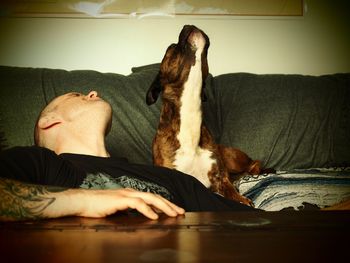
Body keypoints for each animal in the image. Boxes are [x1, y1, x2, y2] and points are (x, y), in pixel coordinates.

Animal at [146, 25, 266, 206]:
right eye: (171, 47)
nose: (188, 25)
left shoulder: (220, 178)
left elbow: (235, 195)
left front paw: (243, 200)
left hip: (231, 158)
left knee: (254, 163)